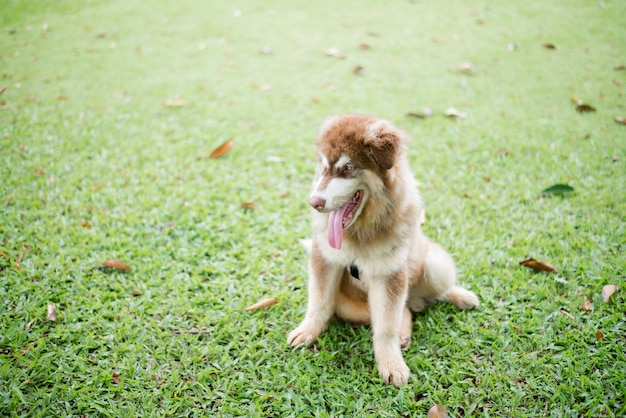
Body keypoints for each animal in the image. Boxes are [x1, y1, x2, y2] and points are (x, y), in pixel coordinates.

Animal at [288, 115, 478, 388]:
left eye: (348, 167)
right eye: (324, 167)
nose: (314, 203)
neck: (360, 231)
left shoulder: (390, 274)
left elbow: (387, 327)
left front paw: (391, 364)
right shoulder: (324, 259)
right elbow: (319, 302)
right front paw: (307, 331)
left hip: (435, 264)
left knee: (426, 296)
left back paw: (460, 296)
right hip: (348, 305)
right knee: (406, 310)